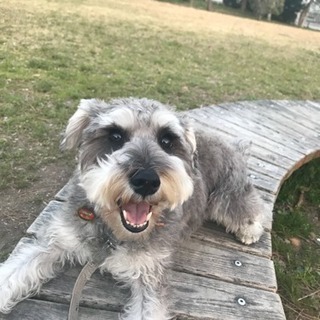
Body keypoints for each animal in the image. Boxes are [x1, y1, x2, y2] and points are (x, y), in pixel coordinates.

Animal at [0, 98, 264, 320]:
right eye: (115, 136)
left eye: (166, 141)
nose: (146, 180)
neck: (113, 233)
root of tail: (232, 145)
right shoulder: (54, 243)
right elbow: (11, 273)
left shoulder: (150, 277)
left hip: (227, 196)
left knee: (248, 206)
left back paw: (250, 230)